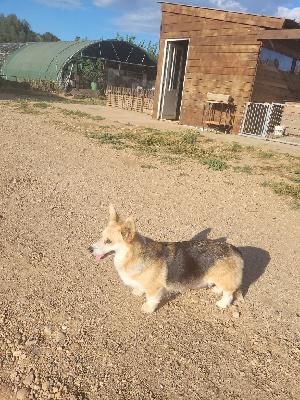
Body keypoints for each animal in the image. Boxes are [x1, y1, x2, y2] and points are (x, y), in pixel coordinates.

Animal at [89, 205, 244, 314]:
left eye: (108, 241)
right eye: (101, 237)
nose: (89, 249)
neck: (132, 255)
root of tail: (236, 250)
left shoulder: (154, 289)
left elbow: (151, 299)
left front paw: (147, 308)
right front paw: (138, 291)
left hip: (225, 280)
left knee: (229, 294)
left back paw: (222, 303)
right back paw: (216, 289)